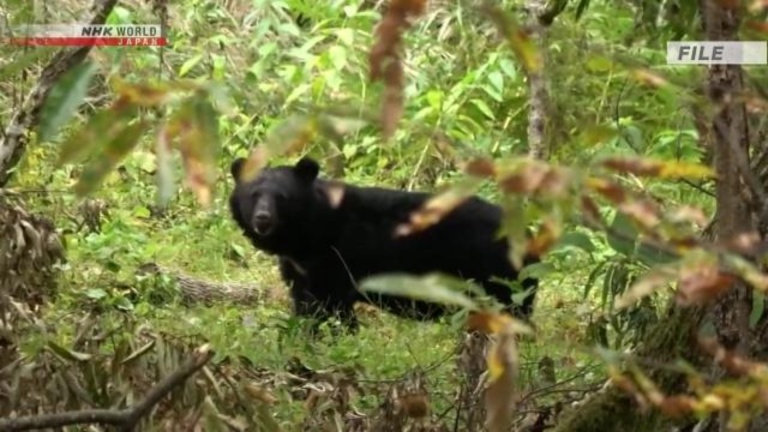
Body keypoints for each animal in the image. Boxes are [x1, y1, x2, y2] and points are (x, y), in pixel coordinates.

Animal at [228, 156, 539, 330]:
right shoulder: (299, 269)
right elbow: (305, 302)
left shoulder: (337, 258)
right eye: (253, 195)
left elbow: (331, 305)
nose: (263, 219)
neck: (305, 236)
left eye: (282, 197)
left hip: (495, 273)